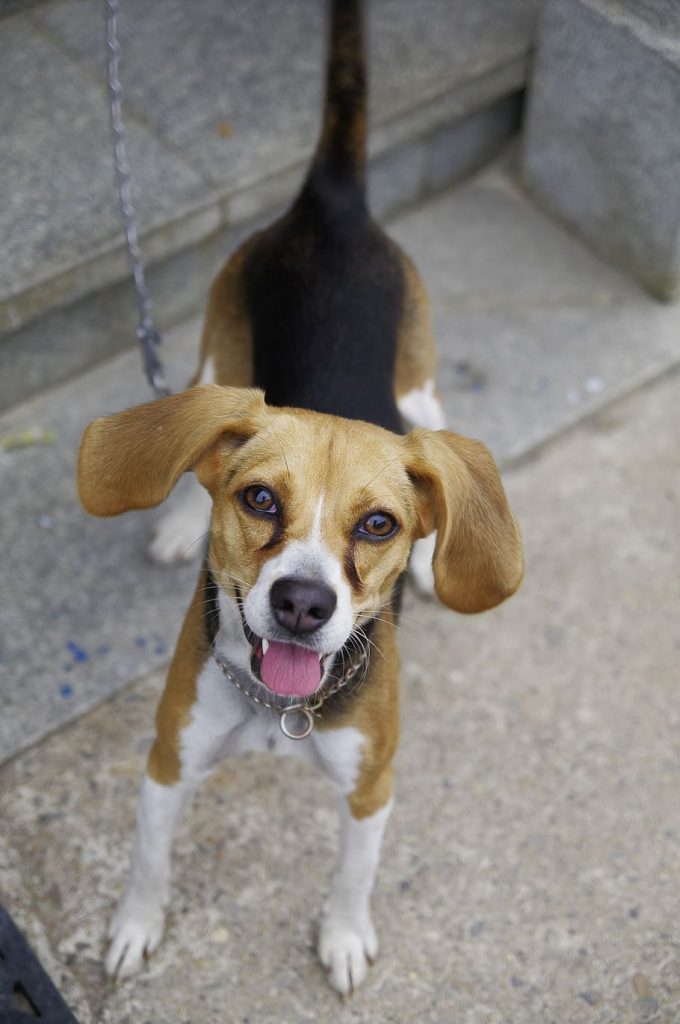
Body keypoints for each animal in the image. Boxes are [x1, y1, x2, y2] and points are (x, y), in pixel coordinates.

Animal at [76, 0, 522, 991]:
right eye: (258, 502)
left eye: (380, 523)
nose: (303, 603)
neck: (278, 708)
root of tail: (334, 207)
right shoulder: (168, 757)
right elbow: (147, 860)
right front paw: (133, 928)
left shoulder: (372, 783)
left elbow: (353, 876)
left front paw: (344, 938)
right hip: (218, 359)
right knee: (189, 428)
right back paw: (174, 523)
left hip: (423, 396)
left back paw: (435, 566)